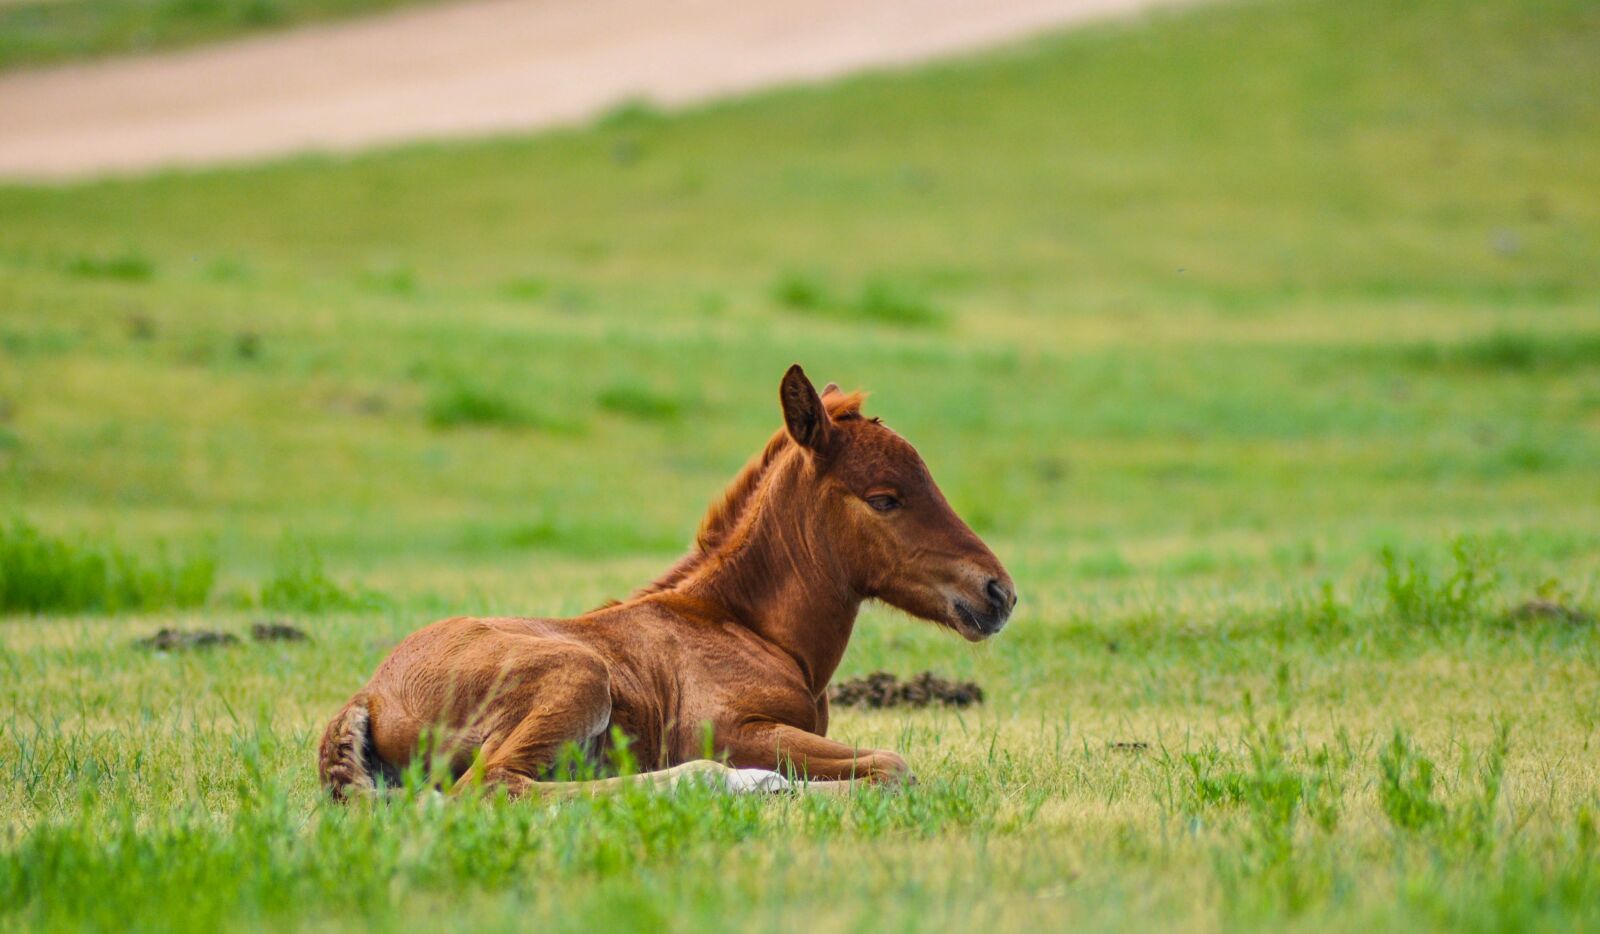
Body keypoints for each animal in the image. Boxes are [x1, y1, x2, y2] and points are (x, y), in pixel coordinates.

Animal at [318, 364, 1016, 800]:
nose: (998, 592)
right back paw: (722, 782)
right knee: (492, 787)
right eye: (885, 499)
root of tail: (369, 695)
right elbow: (894, 765)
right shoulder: (735, 728)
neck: (747, 628)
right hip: (578, 675)